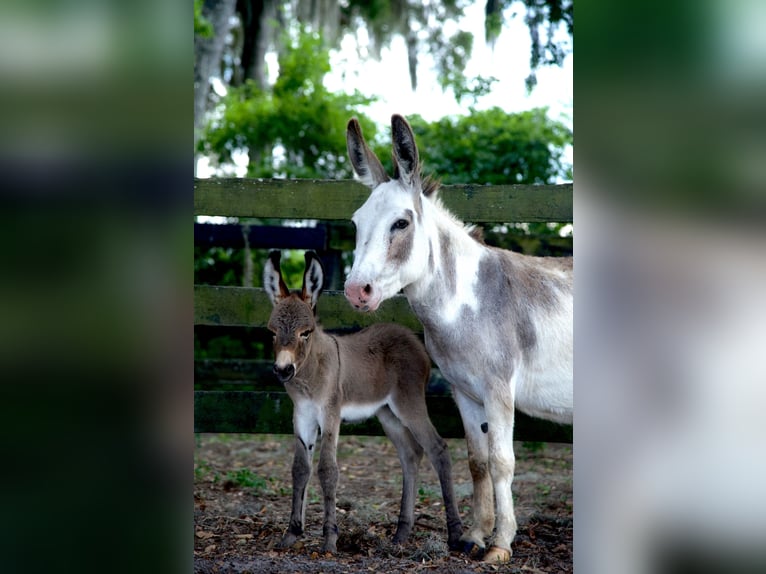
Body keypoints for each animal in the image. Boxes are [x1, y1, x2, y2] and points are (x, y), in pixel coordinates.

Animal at [264, 251, 462, 552]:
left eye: (306, 332)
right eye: (272, 332)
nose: (283, 370)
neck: (310, 373)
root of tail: (412, 338)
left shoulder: (330, 413)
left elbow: (327, 470)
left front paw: (330, 539)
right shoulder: (302, 415)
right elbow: (300, 469)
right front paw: (291, 534)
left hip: (409, 403)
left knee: (437, 448)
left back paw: (455, 534)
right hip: (387, 412)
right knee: (411, 454)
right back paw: (401, 532)